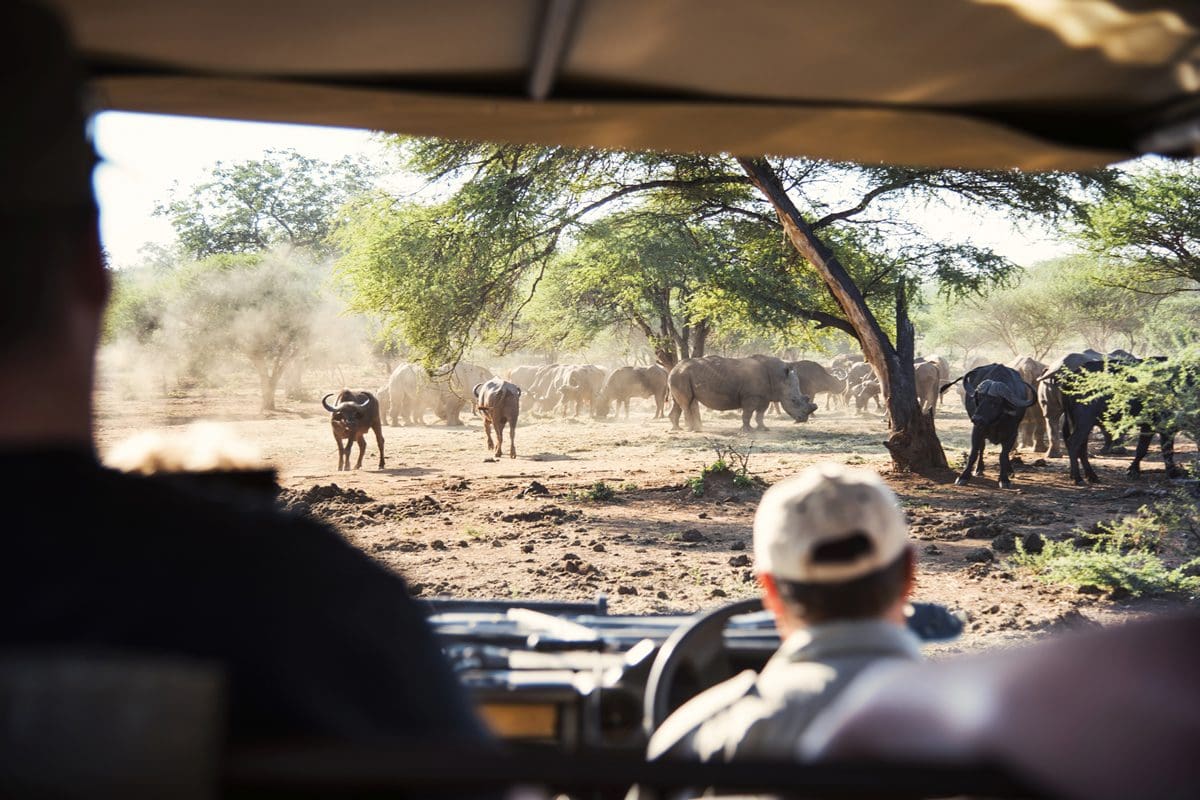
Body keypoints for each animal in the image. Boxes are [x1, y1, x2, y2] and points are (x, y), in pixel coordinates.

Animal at [668, 354, 817, 432]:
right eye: (793, 400)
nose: (803, 420)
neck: (779, 378)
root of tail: (674, 367)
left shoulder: (764, 397)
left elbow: (760, 414)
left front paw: (764, 429)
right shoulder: (750, 397)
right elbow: (748, 413)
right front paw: (747, 430)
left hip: (680, 376)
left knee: (681, 402)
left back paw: (677, 429)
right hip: (681, 375)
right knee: (686, 403)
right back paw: (692, 430)